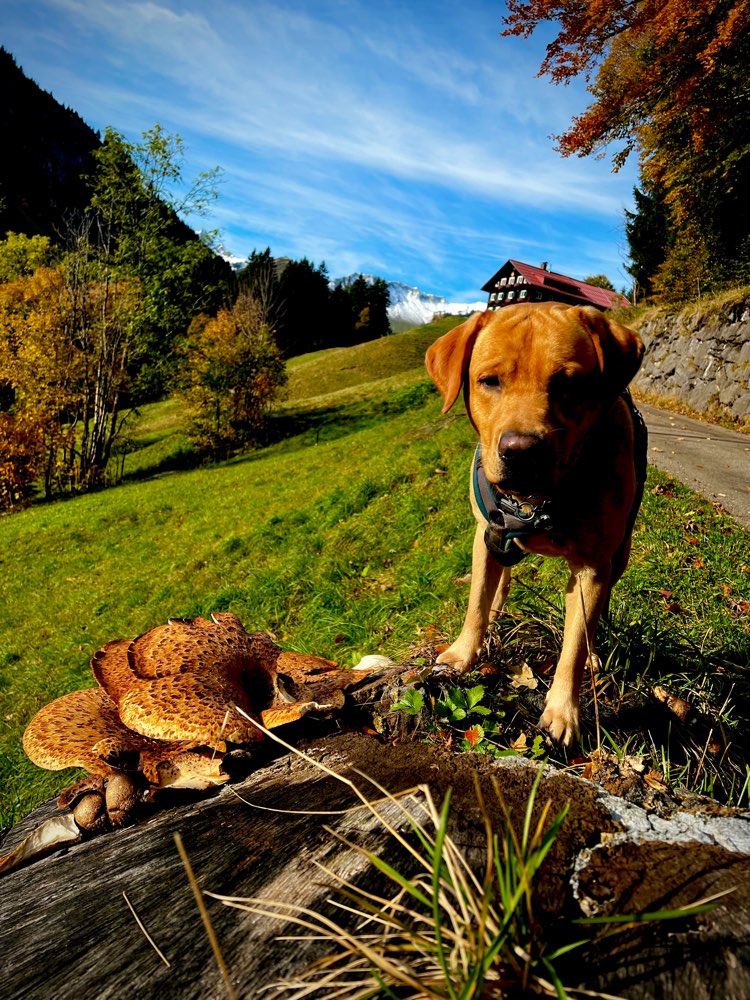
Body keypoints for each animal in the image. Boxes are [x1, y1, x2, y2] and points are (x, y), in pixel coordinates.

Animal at [428, 300, 648, 748]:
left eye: (568, 383)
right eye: (489, 381)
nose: (520, 451)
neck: (536, 504)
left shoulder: (593, 567)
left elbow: (575, 644)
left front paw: (563, 712)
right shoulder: (484, 537)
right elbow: (476, 602)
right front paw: (463, 653)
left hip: (620, 555)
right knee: (499, 587)